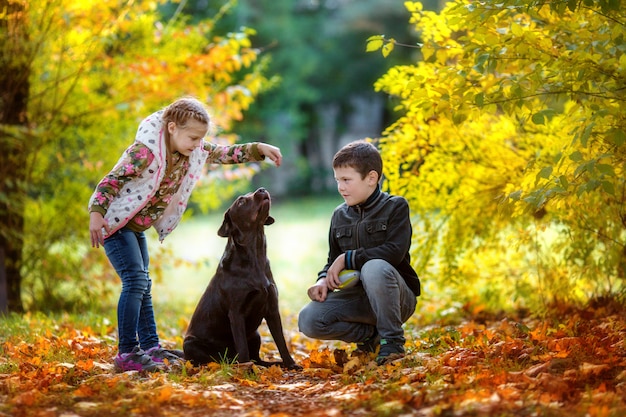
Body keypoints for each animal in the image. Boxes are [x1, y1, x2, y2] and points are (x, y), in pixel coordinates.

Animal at [182, 188, 298, 368]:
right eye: (241, 201)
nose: (262, 189)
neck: (255, 255)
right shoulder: (236, 313)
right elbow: (242, 348)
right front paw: (246, 370)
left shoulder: (272, 308)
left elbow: (281, 341)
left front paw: (291, 364)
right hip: (191, 344)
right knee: (219, 360)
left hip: (255, 334)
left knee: (257, 359)